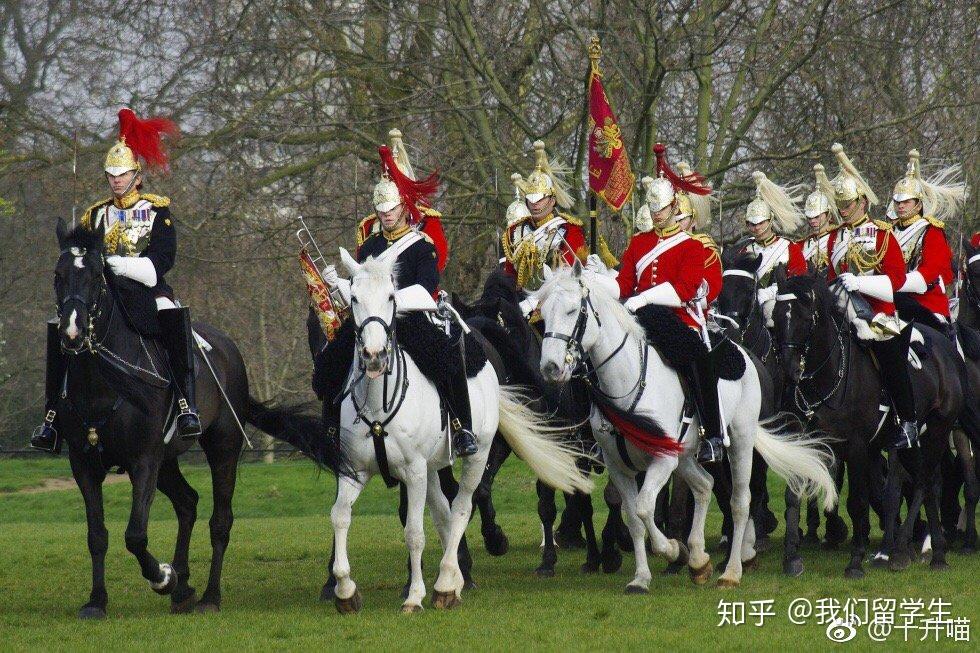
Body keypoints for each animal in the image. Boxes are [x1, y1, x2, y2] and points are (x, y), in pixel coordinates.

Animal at [52, 219, 352, 616]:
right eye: (58, 275)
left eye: (97, 276)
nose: (71, 332)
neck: (103, 385)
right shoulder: (84, 463)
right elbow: (97, 535)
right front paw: (97, 601)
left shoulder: (143, 460)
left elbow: (135, 535)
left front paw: (161, 577)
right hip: (166, 461)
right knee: (188, 503)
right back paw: (183, 587)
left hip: (221, 448)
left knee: (220, 520)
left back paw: (208, 595)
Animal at [332, 248, 588, 612]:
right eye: (353, 298)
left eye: (391, 297)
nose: (374, 355)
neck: (378, 406)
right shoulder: (355, 470)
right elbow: (340, 516)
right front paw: (345, 590)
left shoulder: (414, 472)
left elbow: (415, 532)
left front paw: (414, 596)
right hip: (434, 467)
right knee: (445, 513)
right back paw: (452, 578)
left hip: (475, 456)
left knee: (463, 506)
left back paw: (447, 582)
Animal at [536, 262, 836, 592]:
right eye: (544, 312)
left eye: (572, 310)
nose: (550, 368)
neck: (627, 383)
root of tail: (746, 354)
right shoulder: (619, 466)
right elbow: (634, 517)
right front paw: (642, 577)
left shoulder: (662, 460)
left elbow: (644, 507)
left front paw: (671, 550)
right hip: (686, 455)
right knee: (705, 485)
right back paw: (699, 560)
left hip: (740, 442)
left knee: (740, 500)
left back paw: (732, 569)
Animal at [776, 274, 960, 576]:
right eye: (776, 317)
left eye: (805, 316)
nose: (790, 372)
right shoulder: (806, 441)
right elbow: (794, 495)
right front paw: (791, 556)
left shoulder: (857, 447)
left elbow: (857, 502)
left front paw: (855, 561)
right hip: (912, 442)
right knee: (927, 482)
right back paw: (927, 553)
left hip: (938, 430)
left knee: (924, 481)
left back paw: (910, 551)